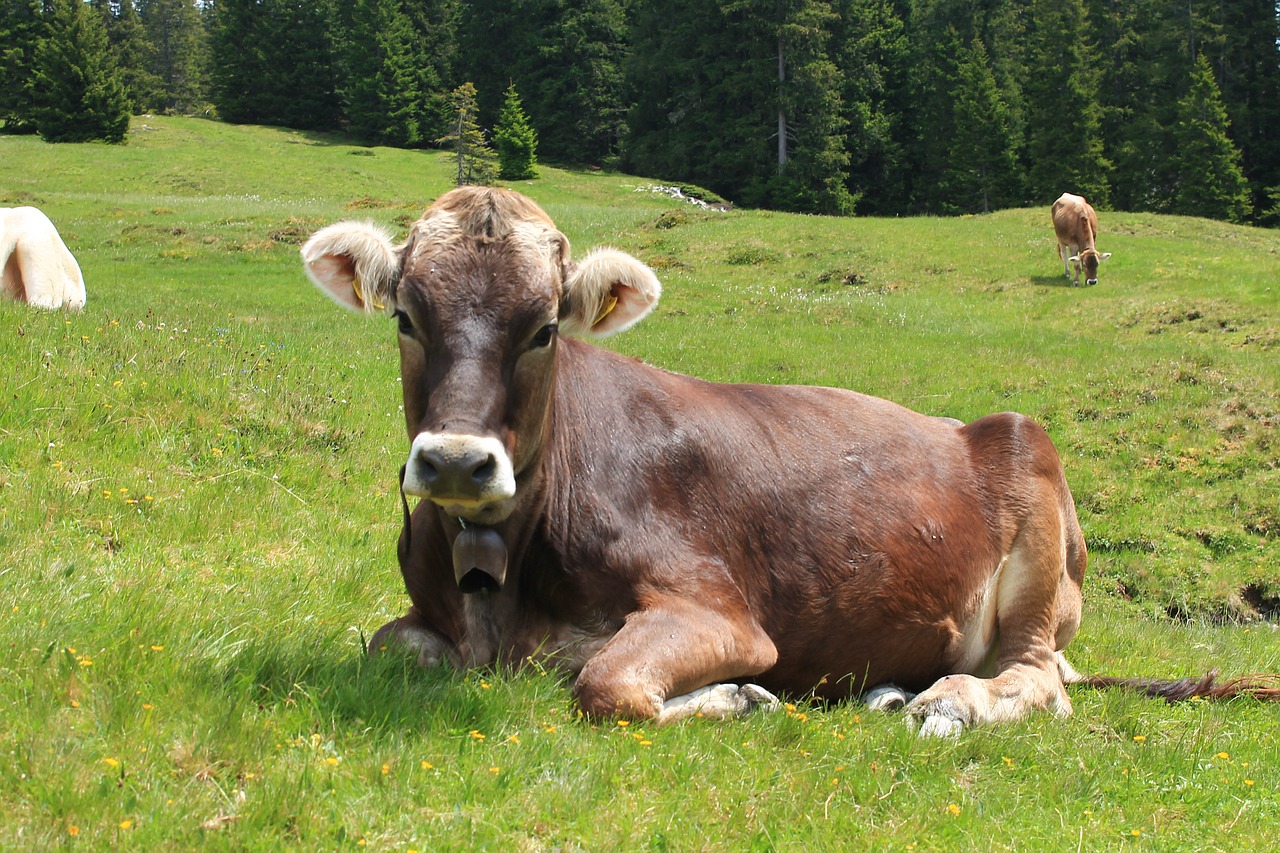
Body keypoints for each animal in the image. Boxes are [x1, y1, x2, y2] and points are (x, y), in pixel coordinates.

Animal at [302, 189, 1280, 732]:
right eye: (405, 316)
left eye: (543, 328)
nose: (457, 461)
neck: (502, 591)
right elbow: (386, 646)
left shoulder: (721, 610)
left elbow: (605, 681)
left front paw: (742, 698)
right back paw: (888, 691)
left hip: (1035, 513)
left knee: (1037, 677)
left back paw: (949, 701)